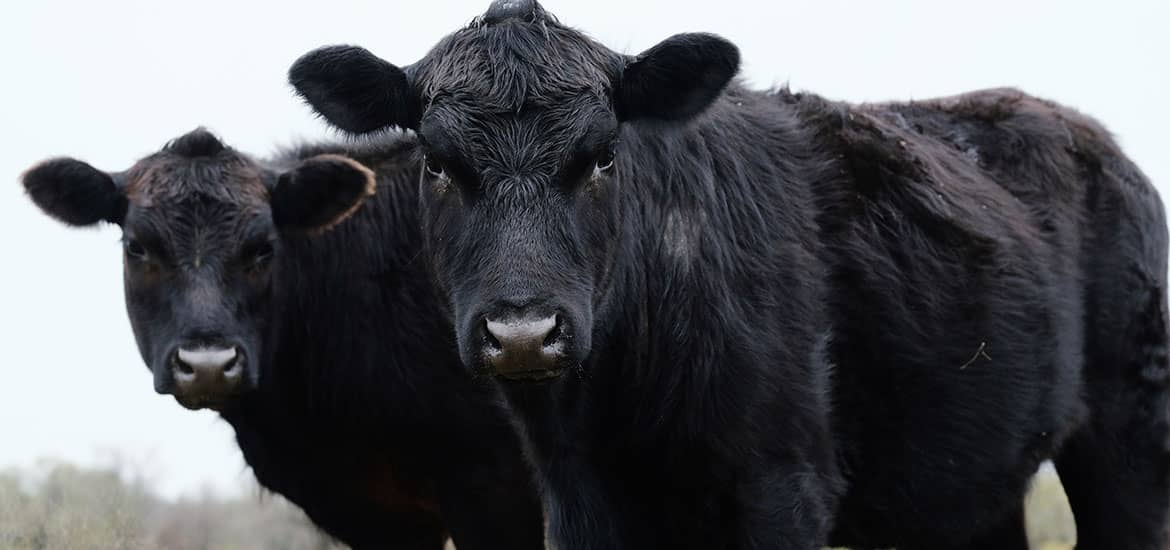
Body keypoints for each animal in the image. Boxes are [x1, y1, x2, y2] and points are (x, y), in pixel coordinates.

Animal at [288, 0, 1170, 548]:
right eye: (437, 163)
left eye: (602, 155)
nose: (524, 332)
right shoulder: (576, 502)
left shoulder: (784, 483)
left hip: (1131, 438)